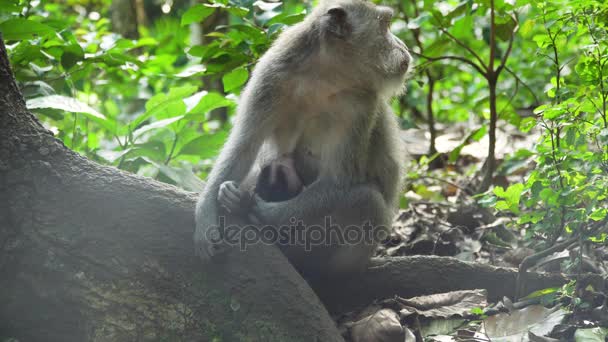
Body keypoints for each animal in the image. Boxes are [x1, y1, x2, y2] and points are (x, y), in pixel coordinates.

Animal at [196, 0, 414, 276]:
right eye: (385, 26)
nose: (404, 45)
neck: (324, 75)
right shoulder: (271, 75)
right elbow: (244, 145)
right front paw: (206, 216)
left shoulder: (361, 102)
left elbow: (339, 179)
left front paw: (256, 209)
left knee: (368, 202)